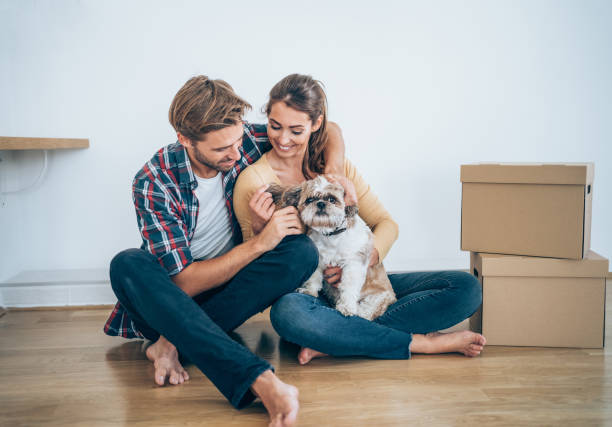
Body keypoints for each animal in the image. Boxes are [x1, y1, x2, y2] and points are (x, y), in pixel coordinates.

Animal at [268, 176, 396, 320]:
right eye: (309, 200)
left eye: (331, 199)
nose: (321, 204)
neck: (332, 236)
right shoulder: (318, 259)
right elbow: (314, 277)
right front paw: (310, 291)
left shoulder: (354, 263)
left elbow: (349, 286)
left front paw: (346, 307)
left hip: (376, 300)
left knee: (366, 313)